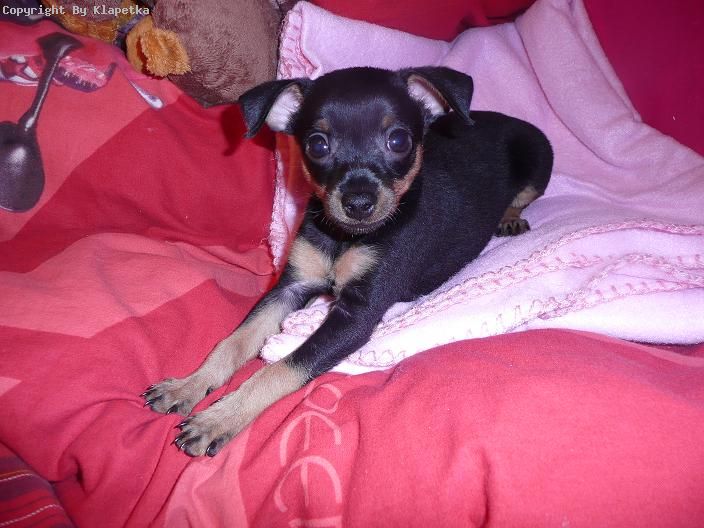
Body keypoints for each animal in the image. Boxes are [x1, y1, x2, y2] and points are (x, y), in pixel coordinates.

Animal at [142, 66, 553, 457]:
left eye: (399, 140)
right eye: (317, 144)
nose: (358, 203)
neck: (345, 237)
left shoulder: (356, 315)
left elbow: (280, 369)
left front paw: (220, 418)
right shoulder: (289, 287)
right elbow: (233, 342)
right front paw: (189, 386)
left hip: (538, 161)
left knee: (524, 195)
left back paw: (509, 218)